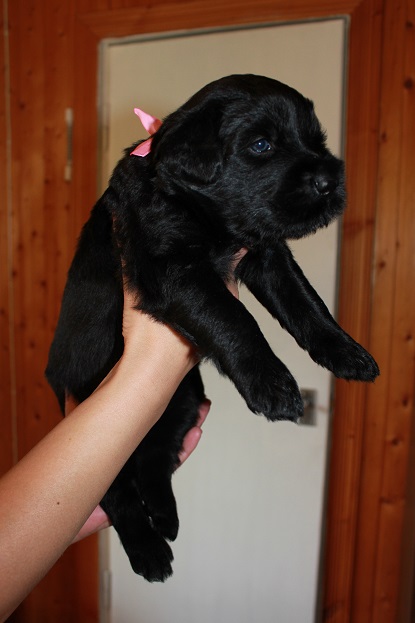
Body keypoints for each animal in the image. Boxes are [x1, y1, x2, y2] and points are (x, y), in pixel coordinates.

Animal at [46, 74, 379, 582]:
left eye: (317, 139)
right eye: (261, 145)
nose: (331, 180)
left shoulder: (267, 254)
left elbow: (307, 305)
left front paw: (346, 352)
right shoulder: (176, 270)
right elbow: (235, 319)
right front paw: (273, 386)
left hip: (183, 401)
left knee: (153, 464)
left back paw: (166, 517)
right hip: (94, 435)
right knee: (118, 493)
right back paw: (149, 552)